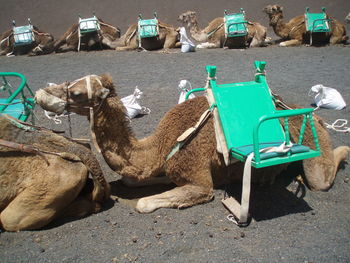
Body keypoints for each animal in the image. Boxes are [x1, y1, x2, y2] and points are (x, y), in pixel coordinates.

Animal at [35, 73, 350, 214]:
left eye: (76, 93)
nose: (40, 94)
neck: (160, 145)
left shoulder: (198, 179)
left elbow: (144, 204)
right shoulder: (164, 167)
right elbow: (133, 181)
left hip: (312, 139)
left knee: (321, 178)